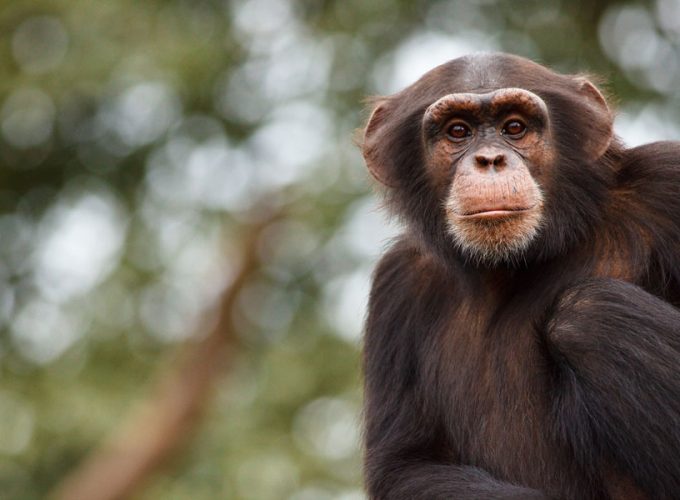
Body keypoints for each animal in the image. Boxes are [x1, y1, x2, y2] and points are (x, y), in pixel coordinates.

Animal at [364, 51, 680, 500]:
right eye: (458, 131)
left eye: (515, 127)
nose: (490, 160)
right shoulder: (398, 283)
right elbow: (406, 465)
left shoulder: (668, 184)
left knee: (588, 314)